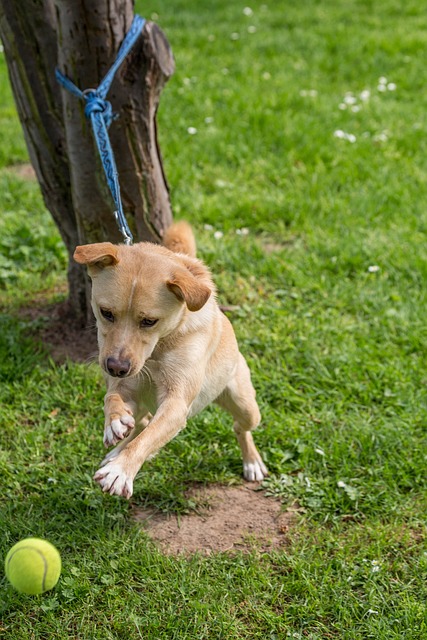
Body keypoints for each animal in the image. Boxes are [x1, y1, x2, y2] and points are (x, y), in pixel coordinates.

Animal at [73, 222, 268, 498]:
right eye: (106, 313)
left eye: (149, 321)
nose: (116, 368)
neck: (157, 350)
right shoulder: (126, 385)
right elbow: (112, 398)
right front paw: (114, 423)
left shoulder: (176, 404)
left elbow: (147, 438)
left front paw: (120, 470)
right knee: (143, 422)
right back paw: (116, 450)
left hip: (246, 406)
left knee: (241, 427)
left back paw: (251, 462)